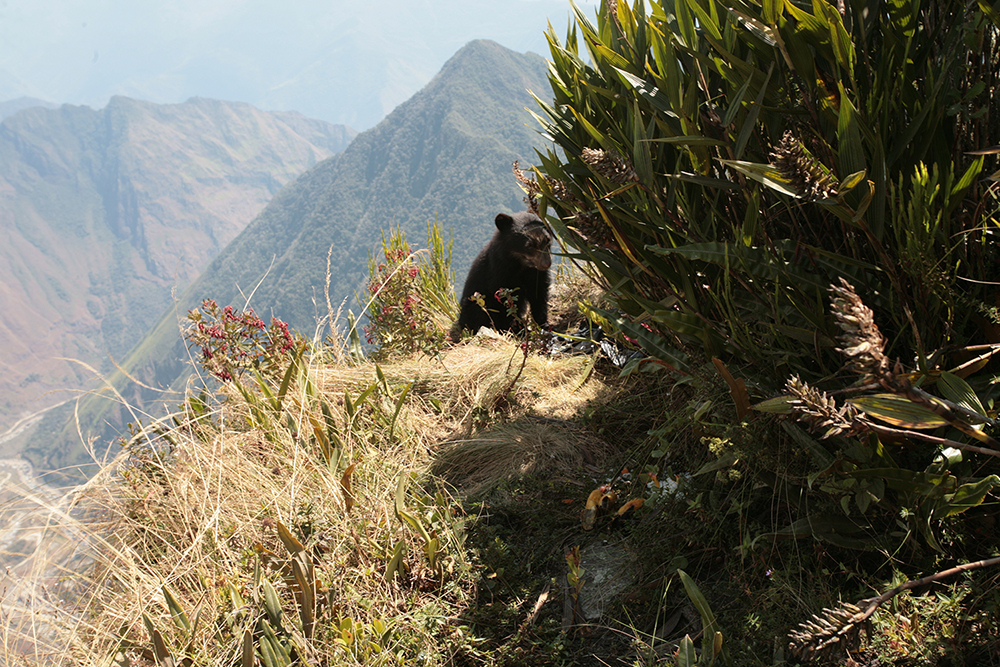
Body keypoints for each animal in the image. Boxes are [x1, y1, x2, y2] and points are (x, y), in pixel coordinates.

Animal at [456, 211, 556, 340]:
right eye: (529, 245)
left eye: (547, 240)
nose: (546, 263)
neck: (521, 265)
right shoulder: (498, 274)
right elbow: (504, 303)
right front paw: (513, 330)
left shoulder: (536, 274)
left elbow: (539, 295)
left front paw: (545, 325)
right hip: (474, 303)